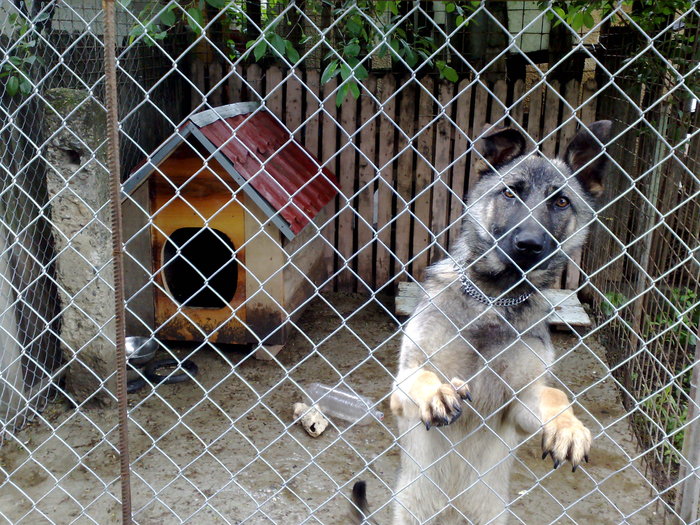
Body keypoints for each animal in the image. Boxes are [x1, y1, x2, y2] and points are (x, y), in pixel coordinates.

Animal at [352, 119, 608, 524]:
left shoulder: (519, 404)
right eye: (510, 193)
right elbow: (423, 376)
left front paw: (568, 427)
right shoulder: (401, 388)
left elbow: (554, 394)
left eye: (561, 201)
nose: (529, 245)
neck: (493, 300)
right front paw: (438, 393)